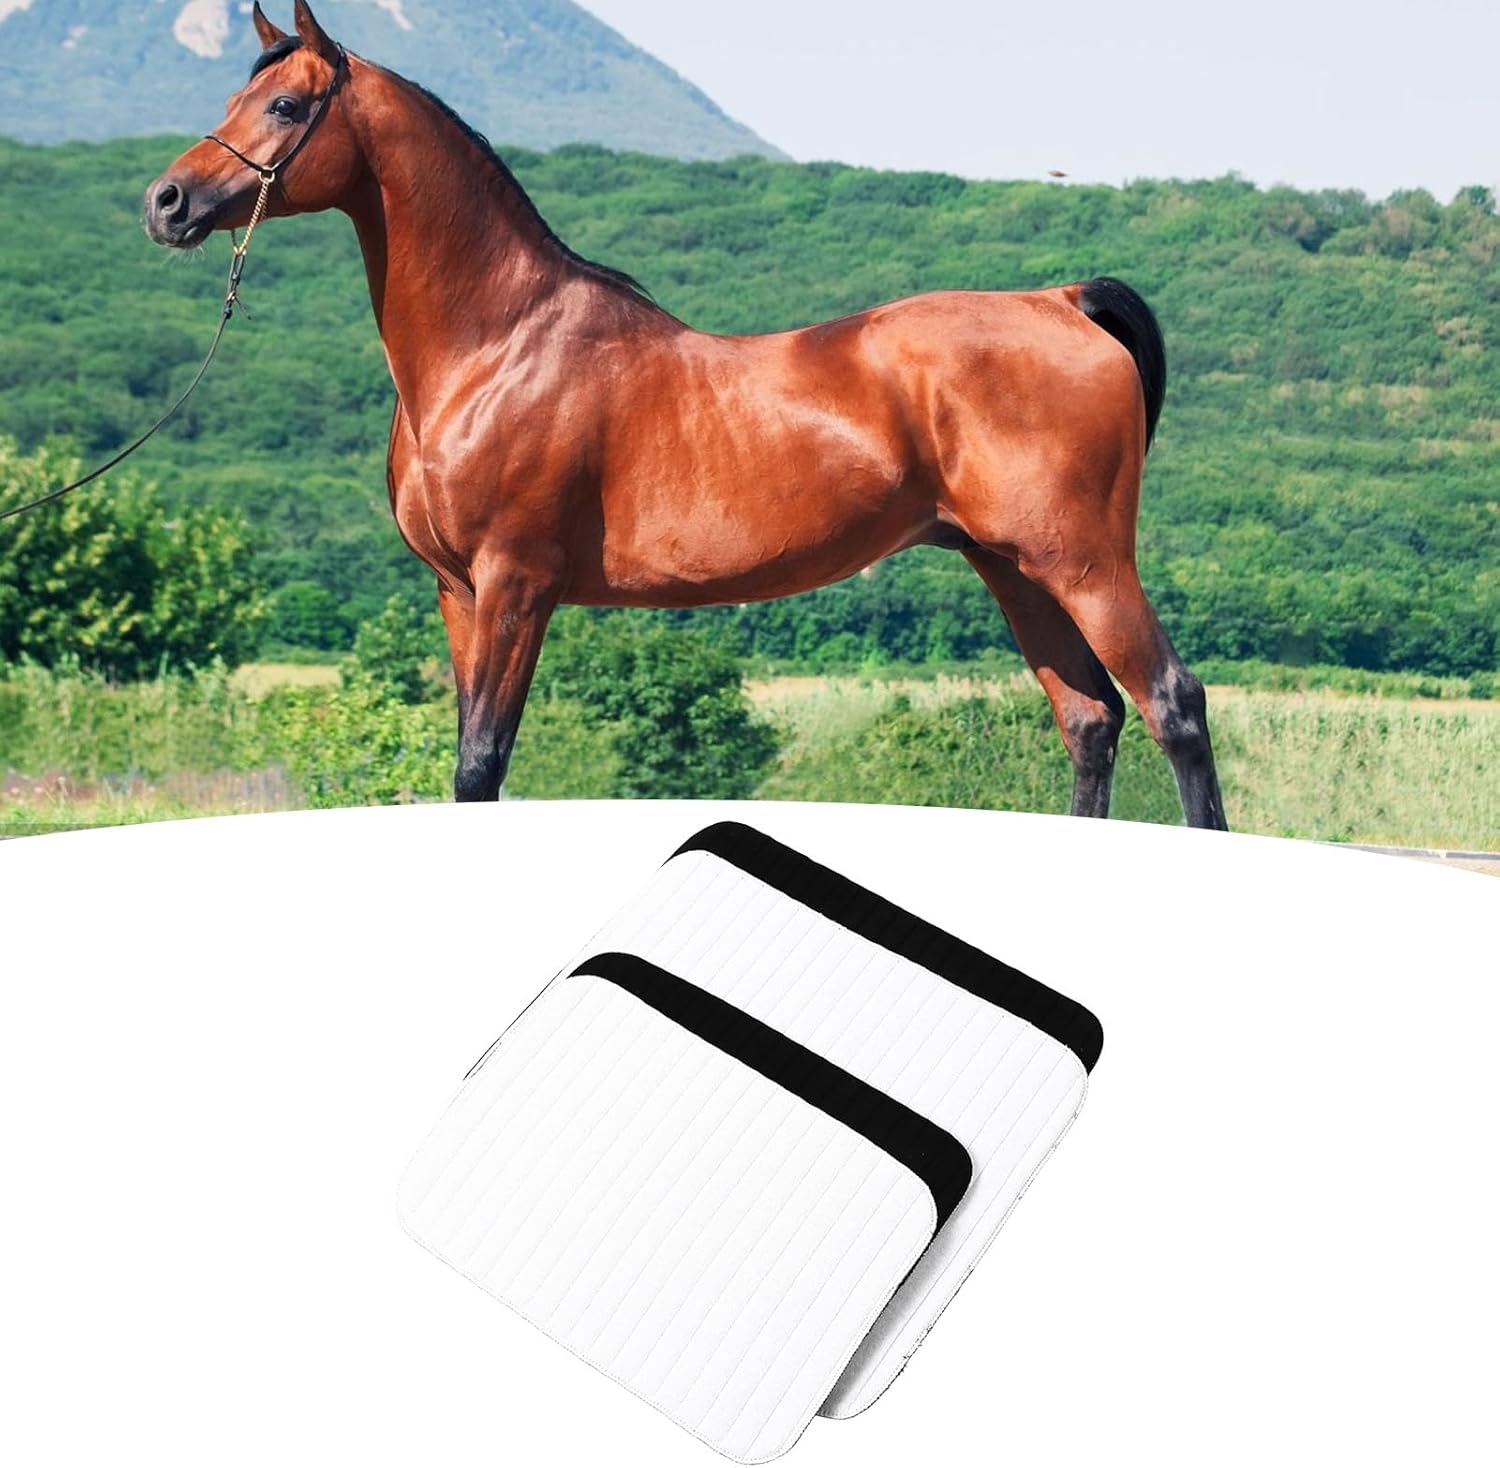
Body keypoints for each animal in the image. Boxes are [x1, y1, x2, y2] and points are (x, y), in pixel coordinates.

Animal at [144, 1, 1227, 829]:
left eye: (286, 104)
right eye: (233, 96)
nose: (167, 203)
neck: (498, 344)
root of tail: (1061, 300)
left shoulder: (516, 585)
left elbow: (481, 764)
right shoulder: (457, 592)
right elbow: (467, 761)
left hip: (1085, 563)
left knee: (1173, 705)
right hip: (1014, 567)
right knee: (1089, 719)